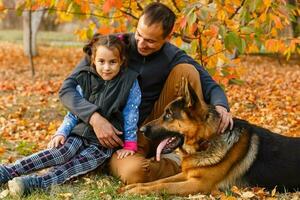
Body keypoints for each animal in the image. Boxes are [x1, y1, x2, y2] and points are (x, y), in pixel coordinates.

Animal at [120, 79, 300, 195]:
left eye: (168, 114)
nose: (141, 129)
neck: (208, 140)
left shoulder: (198, 184)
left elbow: (163, 186)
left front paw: (137, 190)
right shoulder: (187, 175)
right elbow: (159, 181)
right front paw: (133, 187)